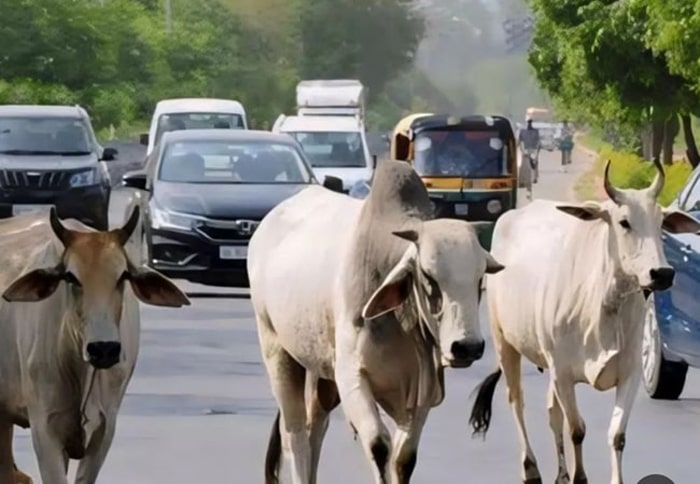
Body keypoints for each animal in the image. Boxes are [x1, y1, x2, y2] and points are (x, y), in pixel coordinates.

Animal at [248, 159, 505, 484]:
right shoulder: (352, 377)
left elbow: (404, 458)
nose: (467, 347)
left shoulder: (420, 391)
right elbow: (379, 446)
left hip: (320, 370)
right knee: (294, 434)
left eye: (480, 276)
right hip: (277, 350)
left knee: (315, 425)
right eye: (428, 275)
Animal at [469, 159, 700, 484]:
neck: (604, 306)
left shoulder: (629, 372)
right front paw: (580, 477)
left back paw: (561, 473)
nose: (662, 273)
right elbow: (577, 429)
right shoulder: (563, 372)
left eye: (660, 222)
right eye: (624, 222)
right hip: (504, 341)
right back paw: (531, 468)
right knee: (516, 401)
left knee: (551, 412)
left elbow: (617, 435)